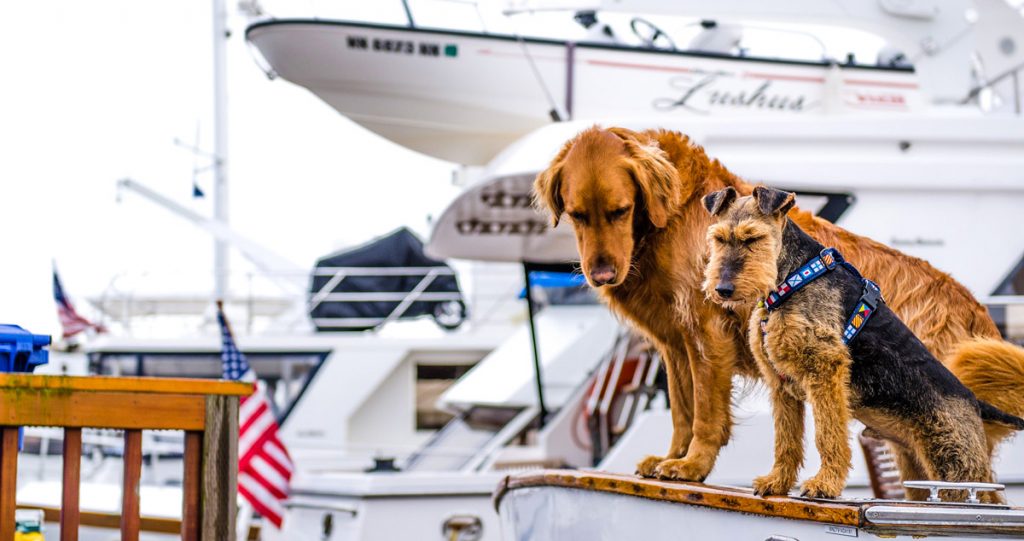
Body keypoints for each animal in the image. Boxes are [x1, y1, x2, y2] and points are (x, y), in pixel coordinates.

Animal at [532, 127, 1024, 489]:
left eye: (620, 210)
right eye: (576, 214)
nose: (601, 275)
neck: (672, 215)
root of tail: (980, 315)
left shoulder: (707, 334)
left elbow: (705, 414)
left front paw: (693, 465)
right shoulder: (675, 342)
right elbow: (682, 411)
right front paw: (671, 458)